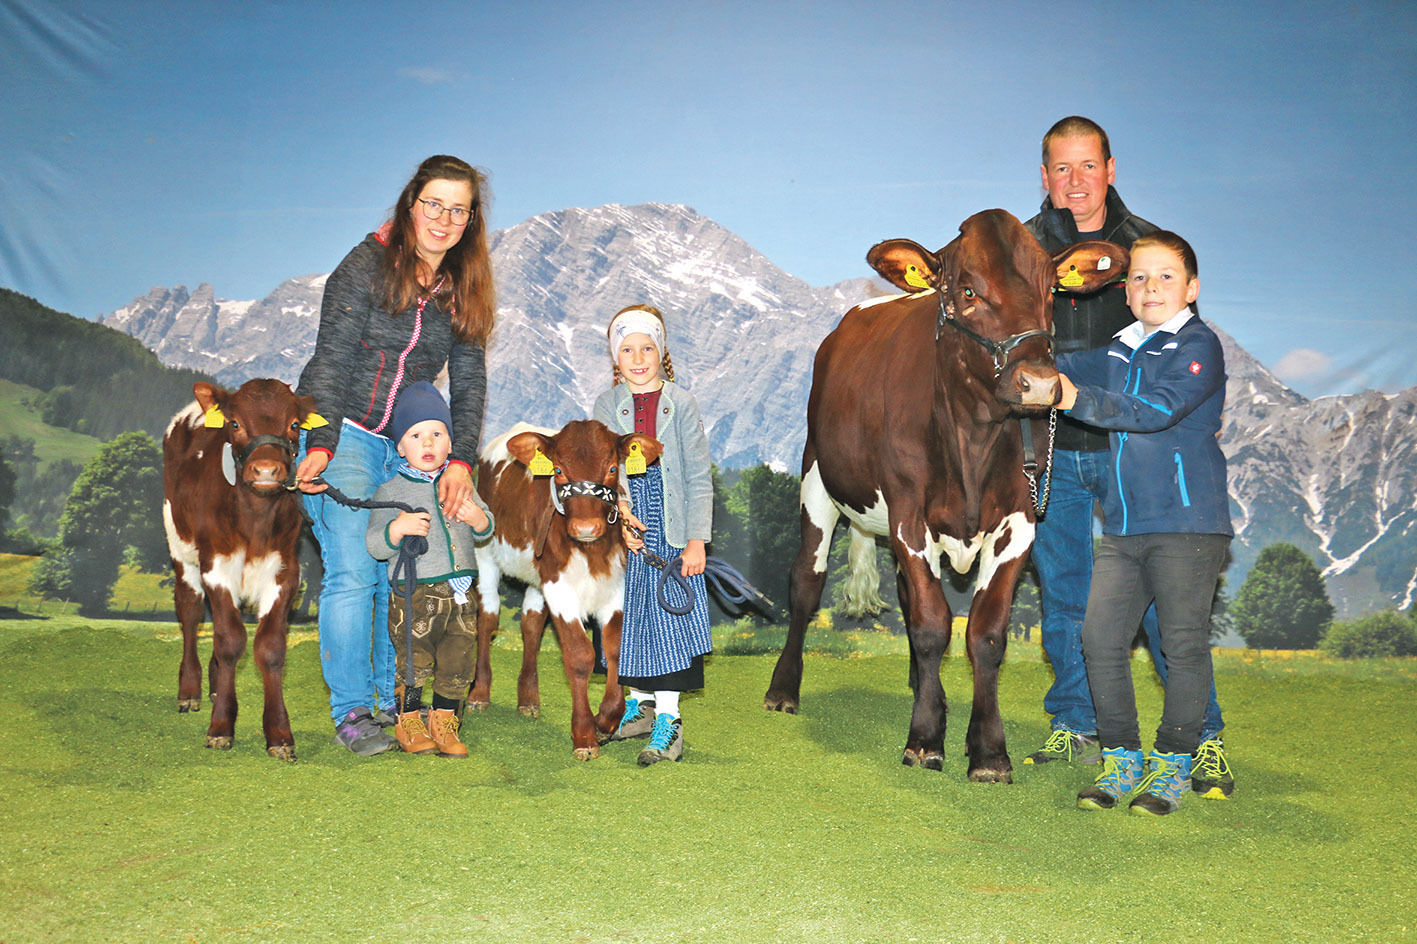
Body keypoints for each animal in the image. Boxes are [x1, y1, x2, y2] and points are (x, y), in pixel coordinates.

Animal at [163, 374, 318, 759]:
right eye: (235, 424)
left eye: (294, 425)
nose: (265, 471)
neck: (255, 519)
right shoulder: (216, 567)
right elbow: (231, 641)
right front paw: (220, 726)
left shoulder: (285, 571)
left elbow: (270, 648)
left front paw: (279, 733)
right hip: (179, 546)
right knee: (190, 611)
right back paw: (190, 689)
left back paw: (216, 683)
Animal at [470, 419, 657, 759]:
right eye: (557, 470)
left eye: (613, 467)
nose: (586, 528)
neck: (592, 553)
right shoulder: (560, 588)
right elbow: (580, 656)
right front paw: (584, 736)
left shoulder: (615, 587)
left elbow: (613, 650)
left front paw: (606, 720)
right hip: (485, 553)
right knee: (487, 619)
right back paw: (479, 693)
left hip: (536, 576)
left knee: (531, 624)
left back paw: (528, 699)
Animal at [770, 211, 1122, 776]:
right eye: (967, 290)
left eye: (1051, 289)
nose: (1041, 384)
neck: (973, 439)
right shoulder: (909, 516)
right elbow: (933, 625)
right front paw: (924, 738)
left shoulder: (1020, 523)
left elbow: (986, 634)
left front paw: (988, 748)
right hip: (817, 478)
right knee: (806, 581)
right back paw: (783, 690)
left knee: (905, 595)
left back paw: (923, 687)